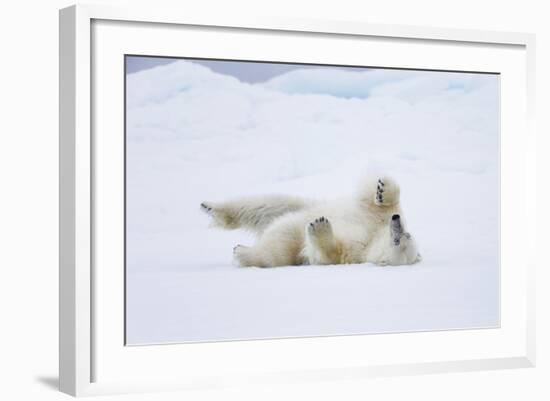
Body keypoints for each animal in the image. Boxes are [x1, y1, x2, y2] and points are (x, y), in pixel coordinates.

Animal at [203, 176, 422, 268]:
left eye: (399, 240)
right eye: (407, 234)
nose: (396, 222)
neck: (372, 238)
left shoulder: (355, 252)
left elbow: (328, 254)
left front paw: (320, 226)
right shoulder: (373, 217)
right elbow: (378, 204)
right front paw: (383, 190)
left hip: (289, 238)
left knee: (277, 248)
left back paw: (242, 252)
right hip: (297, 204)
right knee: (264, 204)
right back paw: (210, 207)